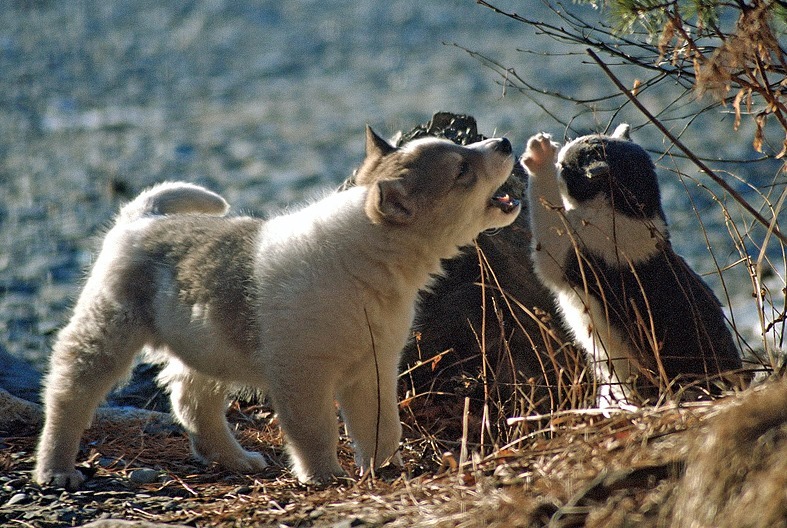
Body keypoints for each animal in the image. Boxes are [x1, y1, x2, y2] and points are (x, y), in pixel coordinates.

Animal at [33, 126, 520, 488]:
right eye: (462, 169)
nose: (504, 143)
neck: (368, 254)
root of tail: (143, 218)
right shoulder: (303, 376)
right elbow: (316, 431)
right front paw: (324, 476)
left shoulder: (374, 367)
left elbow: (381, 425)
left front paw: (382, 468)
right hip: (106, 333)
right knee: (68, 394)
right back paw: (55, 469)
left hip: (207, 349)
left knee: (192, 401)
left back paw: (235, 459)